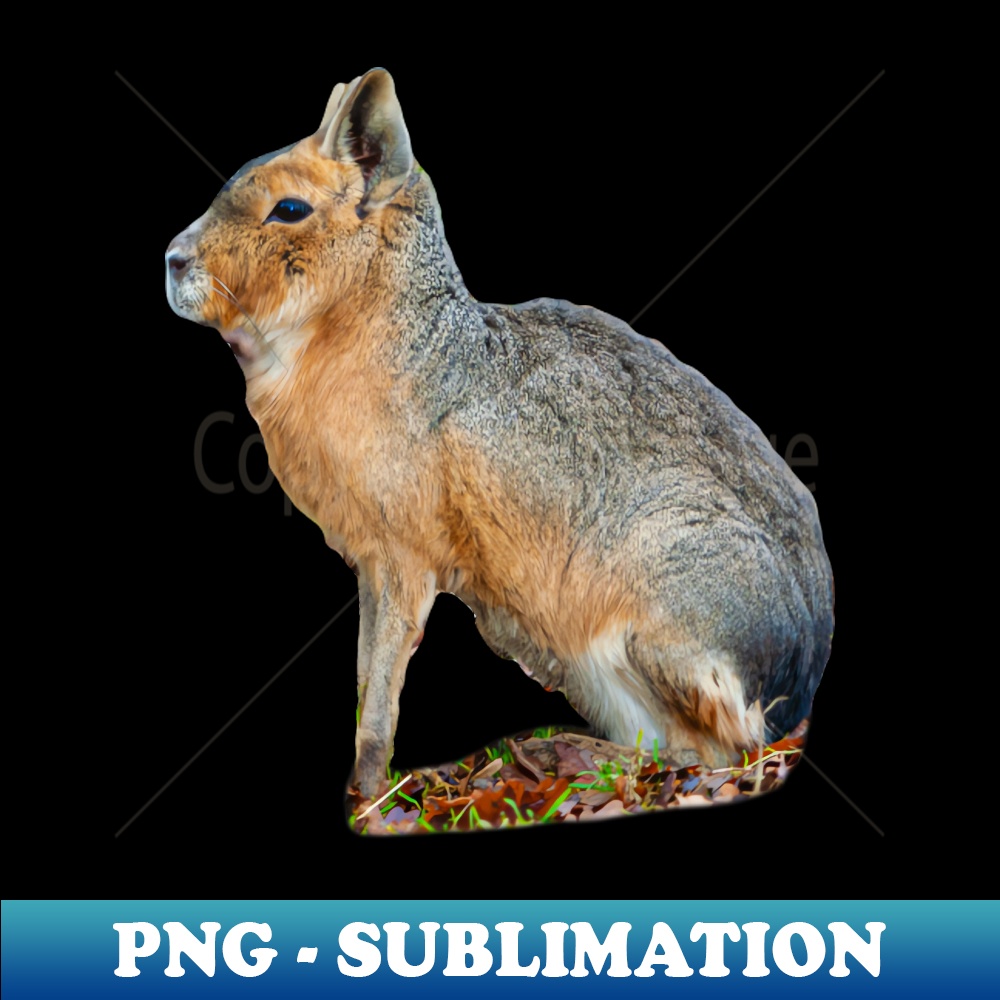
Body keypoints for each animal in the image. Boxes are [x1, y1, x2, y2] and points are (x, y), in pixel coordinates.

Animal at [166, 68, 834, 799]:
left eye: (289, 208)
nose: (173, 259)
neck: (378, 335)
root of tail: (799, 680)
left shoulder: (404, 559)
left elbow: (381, 691)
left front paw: (369, 798)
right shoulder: (370, 563)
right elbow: (366, 675)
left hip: (650, 612)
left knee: (717, 752)